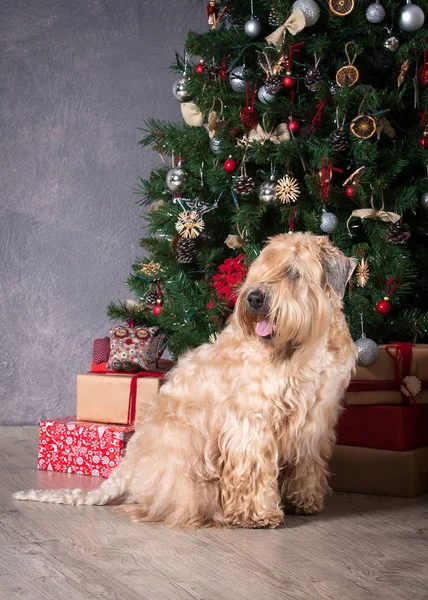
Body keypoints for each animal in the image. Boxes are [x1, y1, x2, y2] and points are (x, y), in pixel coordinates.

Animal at [14, 232, 358, 528]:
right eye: (261, 269)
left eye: (293, 273)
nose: (254, 298)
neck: (306, 347)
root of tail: (128, 462)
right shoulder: (251, 422)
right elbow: (253, 470)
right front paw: (258, 514)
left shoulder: (316, 419)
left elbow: (308, 464)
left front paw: (305, 501)